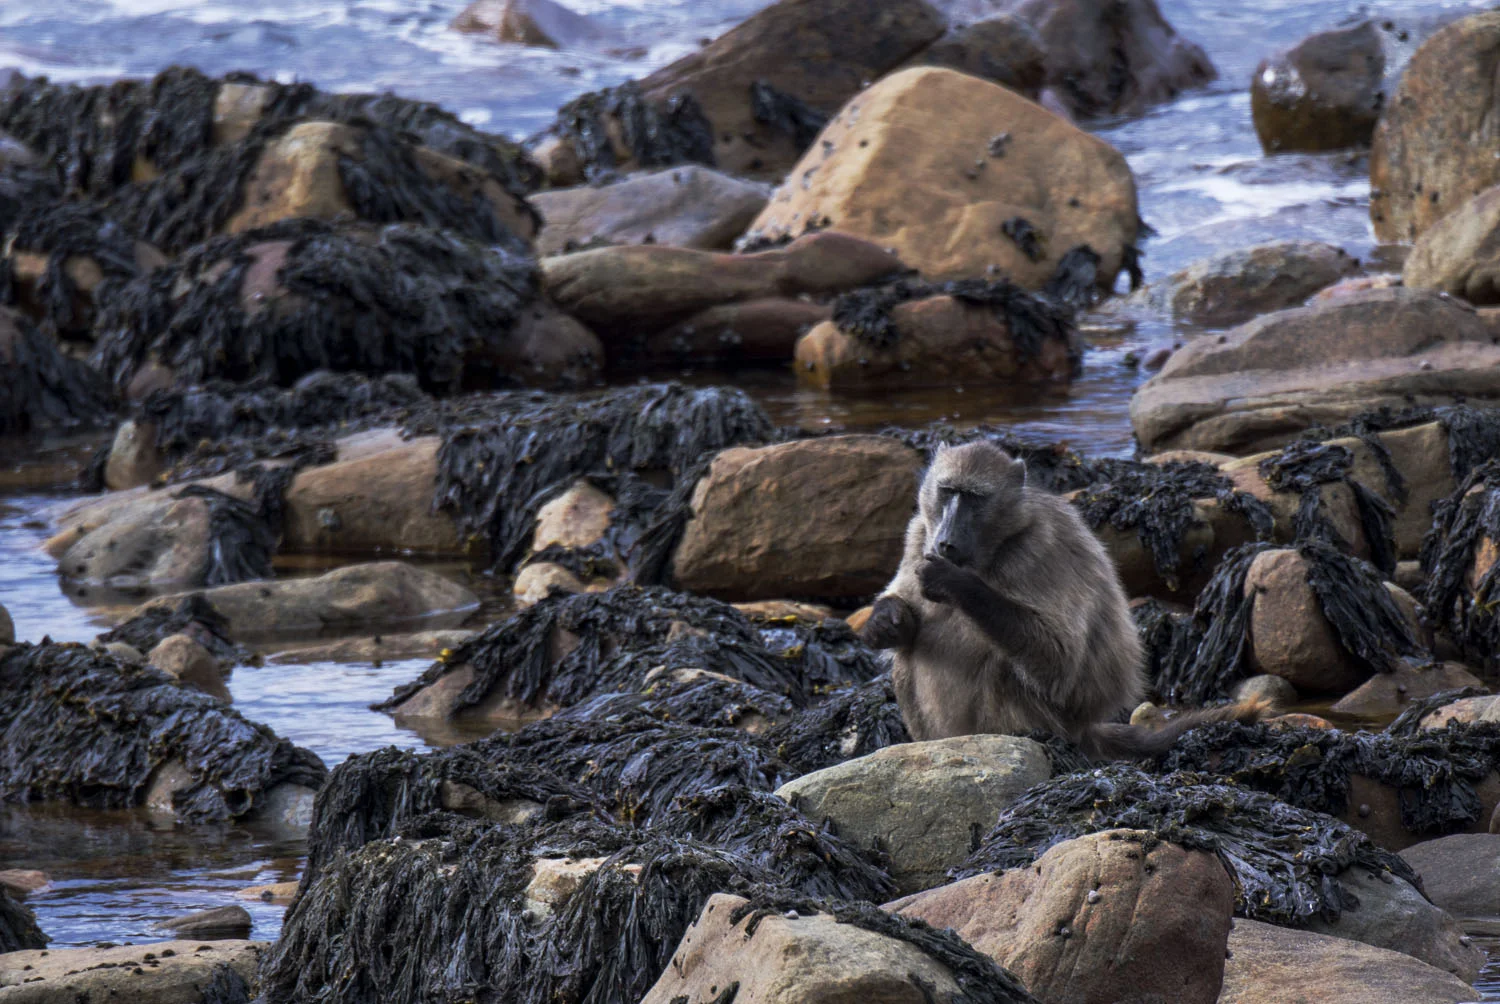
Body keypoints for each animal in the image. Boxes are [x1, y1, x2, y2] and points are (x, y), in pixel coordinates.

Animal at [860, 440, 1269, 760]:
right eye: (947, 491)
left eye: (975, 499)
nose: (945, 543)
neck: (998, 542)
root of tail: (1084, 729)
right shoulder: (918, 534)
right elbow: (903, 616)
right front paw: (885, 619)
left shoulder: (1038, 549)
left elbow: (1059, 659)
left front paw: (954, 583)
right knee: (909, 653)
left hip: (1051, 720)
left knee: (1002, 665)